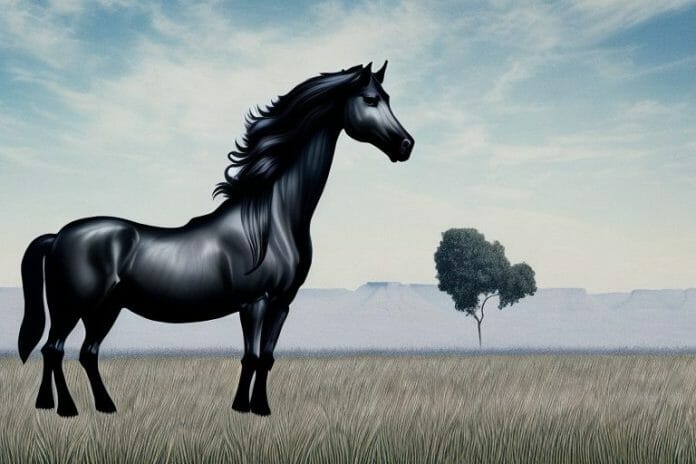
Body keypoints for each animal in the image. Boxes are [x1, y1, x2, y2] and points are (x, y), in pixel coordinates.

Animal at [18, 62, 414, 417]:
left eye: (387, 98)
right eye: (371, 99)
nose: (406, 145)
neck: (271, 221)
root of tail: (59, 236)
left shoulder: (282, 303)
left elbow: (267, 358)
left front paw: (262, 407)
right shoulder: (254, 302)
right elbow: (250, 356)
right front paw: (242, 408)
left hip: (105, 310)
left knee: (86, 353)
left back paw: (100, 406)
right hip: (71, 307)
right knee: (54, 349)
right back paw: (63, 409)